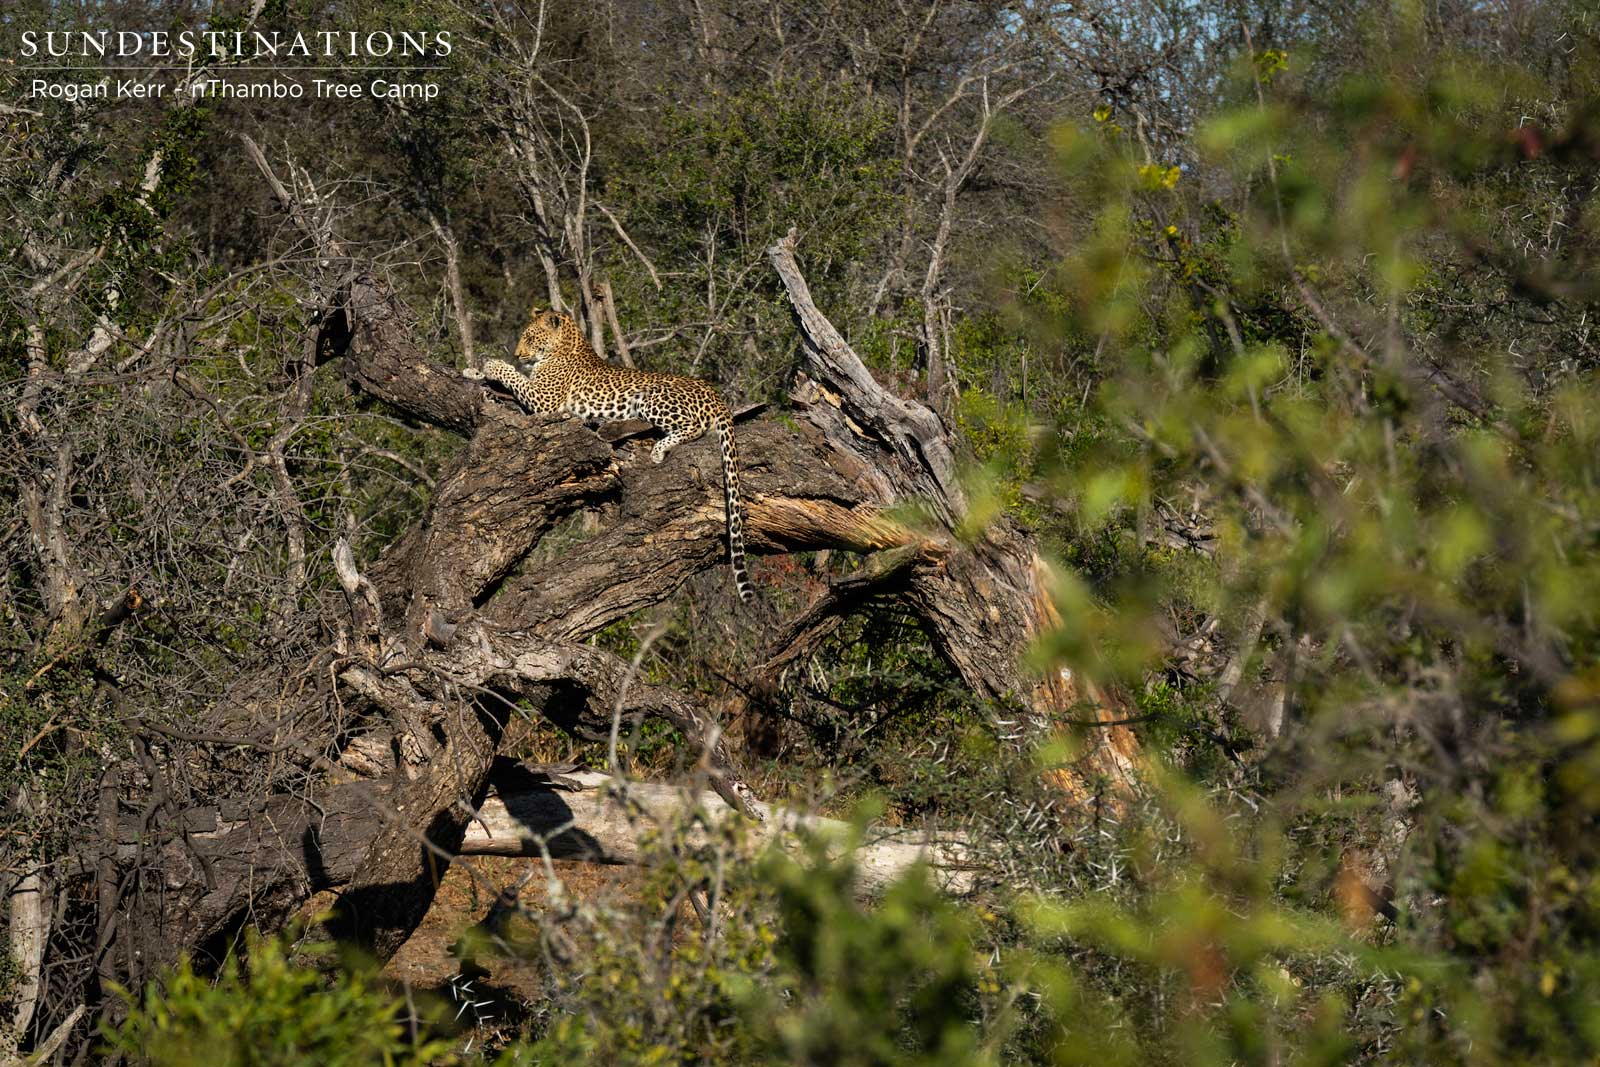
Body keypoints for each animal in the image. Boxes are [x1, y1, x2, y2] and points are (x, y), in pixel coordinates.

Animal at [464, 307, 754, 603]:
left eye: (531, 338)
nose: (518, 354)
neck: (564, 346)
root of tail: (714, 393)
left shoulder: (544, 399)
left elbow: (513, 376)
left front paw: (492, 364)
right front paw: (473, 370)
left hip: (653, 397)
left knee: (692, 426)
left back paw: (656, 450)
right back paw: (609, 428)